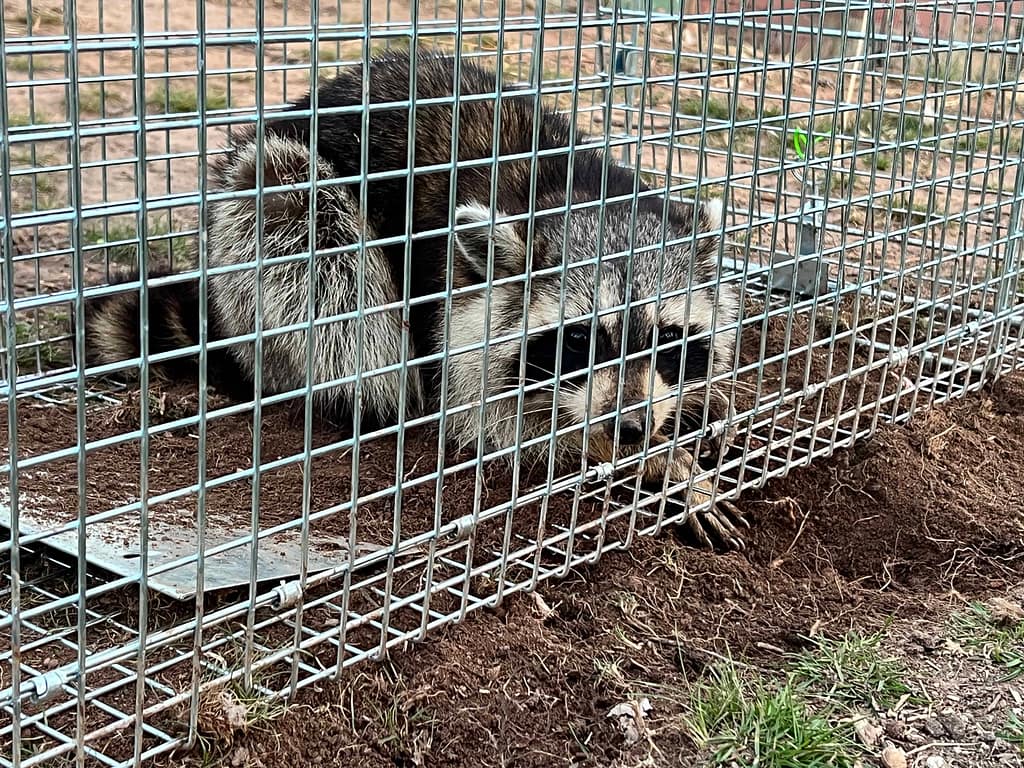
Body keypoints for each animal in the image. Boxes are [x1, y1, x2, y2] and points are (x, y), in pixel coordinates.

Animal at [82, 50, 746, 548]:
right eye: (580, 338)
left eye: (668, 339)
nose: (630, 426)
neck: (576, 192)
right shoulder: (462, 303)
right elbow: (493, 416)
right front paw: (648, 460)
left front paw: (684, 423)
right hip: (261, 207)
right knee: (310, 238)